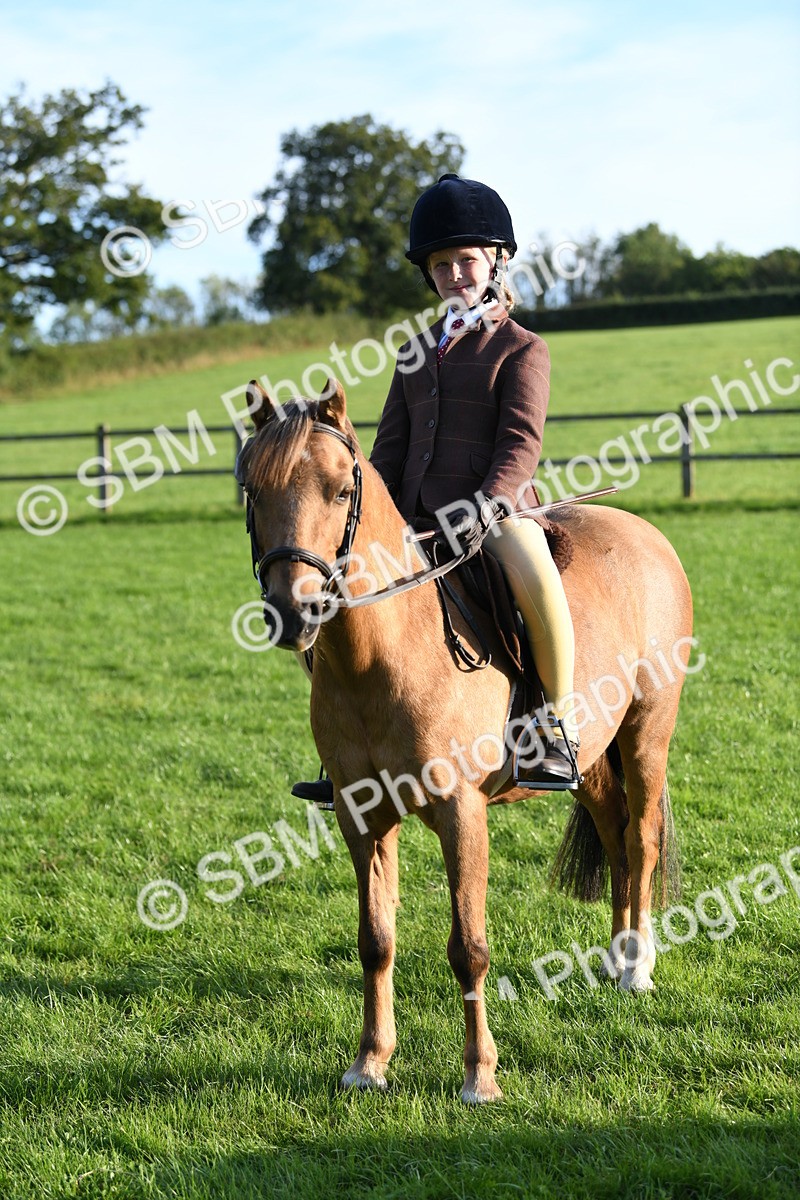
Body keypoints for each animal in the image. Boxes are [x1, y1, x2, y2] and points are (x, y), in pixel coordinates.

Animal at [238, 378, 694, 1105]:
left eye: (339, 491)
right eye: (253, 489)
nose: (292, 612)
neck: (382, 655)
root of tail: (641, 530)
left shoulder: (462, 813)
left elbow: (468, 947)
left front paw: (480, 1076)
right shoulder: (361, 817)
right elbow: (376, 939)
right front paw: (370, 1063)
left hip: (648, 729)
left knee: (643, 837)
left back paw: (636, 970)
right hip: (592, 754)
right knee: (616, 830)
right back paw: (615, 956)